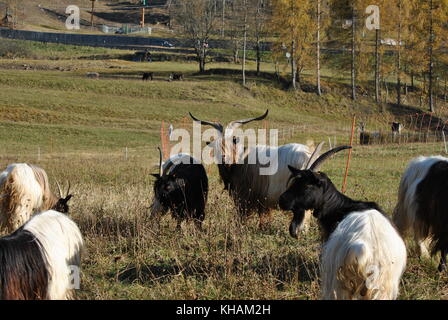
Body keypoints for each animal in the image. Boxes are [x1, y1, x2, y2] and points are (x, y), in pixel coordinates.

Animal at [278, 146, 408, 300]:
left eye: (307, 185)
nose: (282, 200)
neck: (339, 206)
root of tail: (365, 252)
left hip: (338, 281)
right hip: (383, 288)